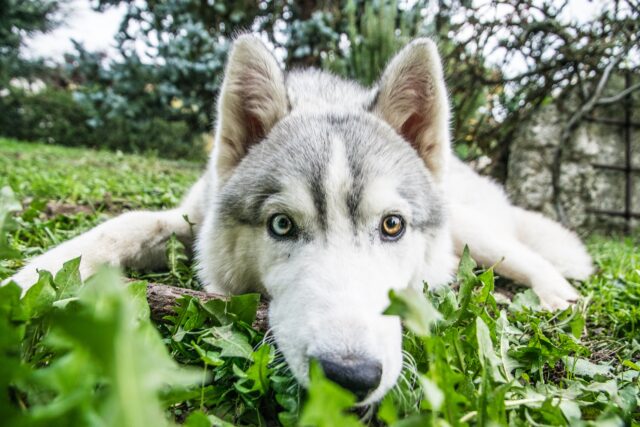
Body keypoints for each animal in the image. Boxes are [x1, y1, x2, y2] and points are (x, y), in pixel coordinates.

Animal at [6, 36, 596, 404]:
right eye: (282, 226)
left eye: (392, 226)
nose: (350, 376)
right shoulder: (189, 218)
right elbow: (119, 226)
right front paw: (25, 281)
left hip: (477, 232)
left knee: (532, 257)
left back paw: (557, 298)